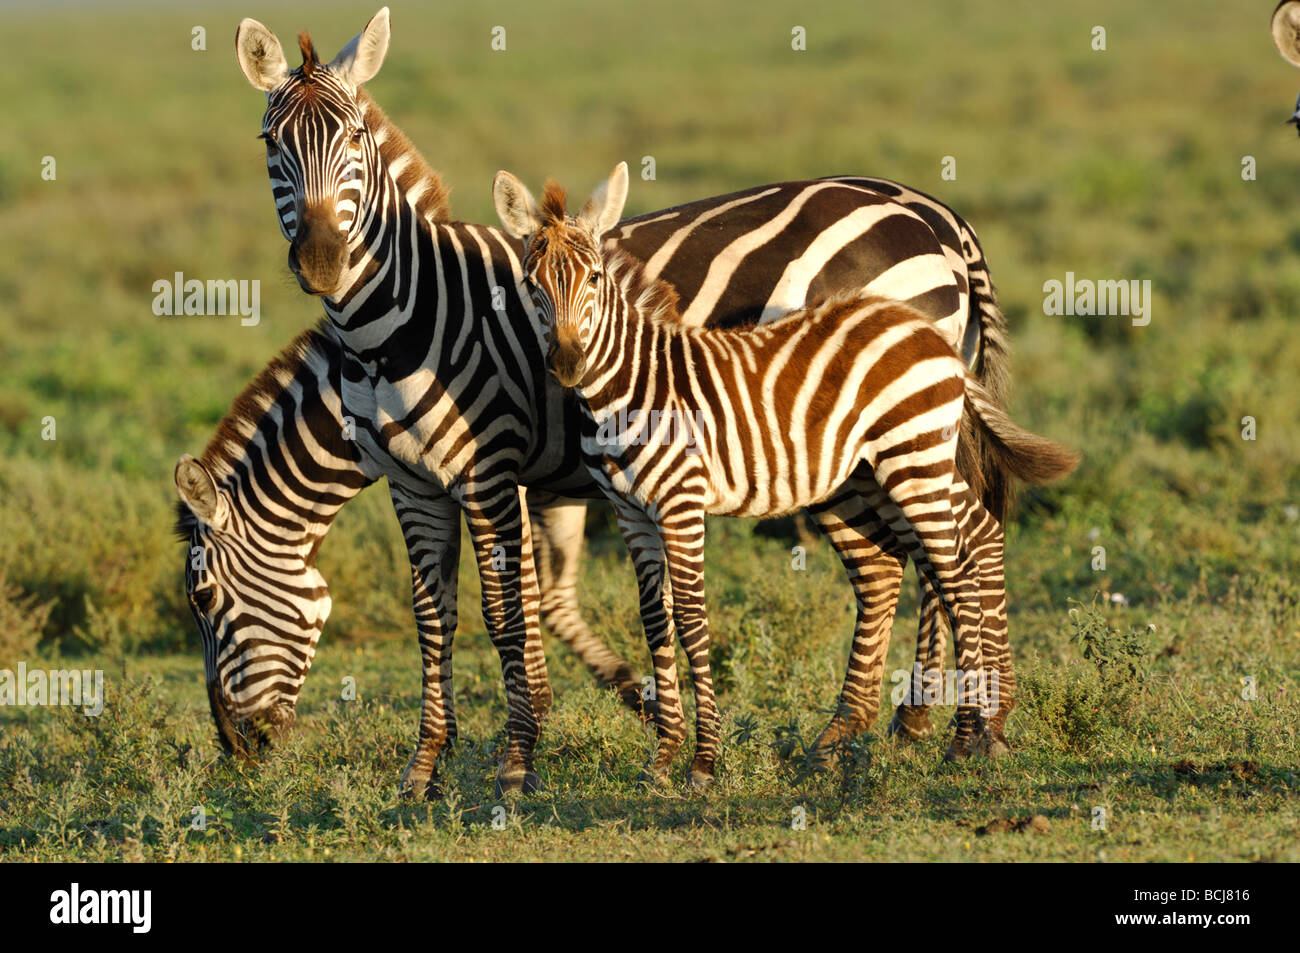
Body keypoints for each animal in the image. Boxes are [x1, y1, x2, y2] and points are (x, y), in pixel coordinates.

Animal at [488, 165, 1076, 790]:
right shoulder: (628, 511)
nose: (566, 364)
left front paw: (700, 761)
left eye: (596, 278)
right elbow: (648, 619)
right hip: (891, 461)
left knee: (952, 564)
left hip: (908, 455)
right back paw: (944, 727)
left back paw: (967, 734)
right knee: (952, 546)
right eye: (529, 284)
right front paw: (662, 752)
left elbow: (683, 617)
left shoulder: (673, 501)